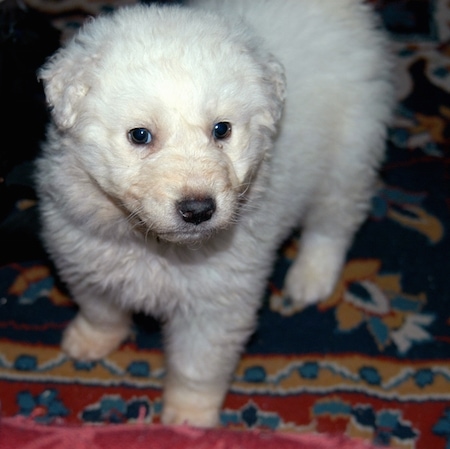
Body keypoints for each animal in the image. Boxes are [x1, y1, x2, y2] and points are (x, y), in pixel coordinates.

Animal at [37, 0, 392, 428]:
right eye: (140, 135)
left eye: (222, 130)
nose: (198, 209)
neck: (153, 245)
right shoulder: (83, 254)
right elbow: (99, 309)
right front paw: (89, 341)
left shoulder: (217, 303)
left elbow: (196, 366)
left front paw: (188, 418)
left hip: (349, 157)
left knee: (333, 227)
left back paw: (310, 279)